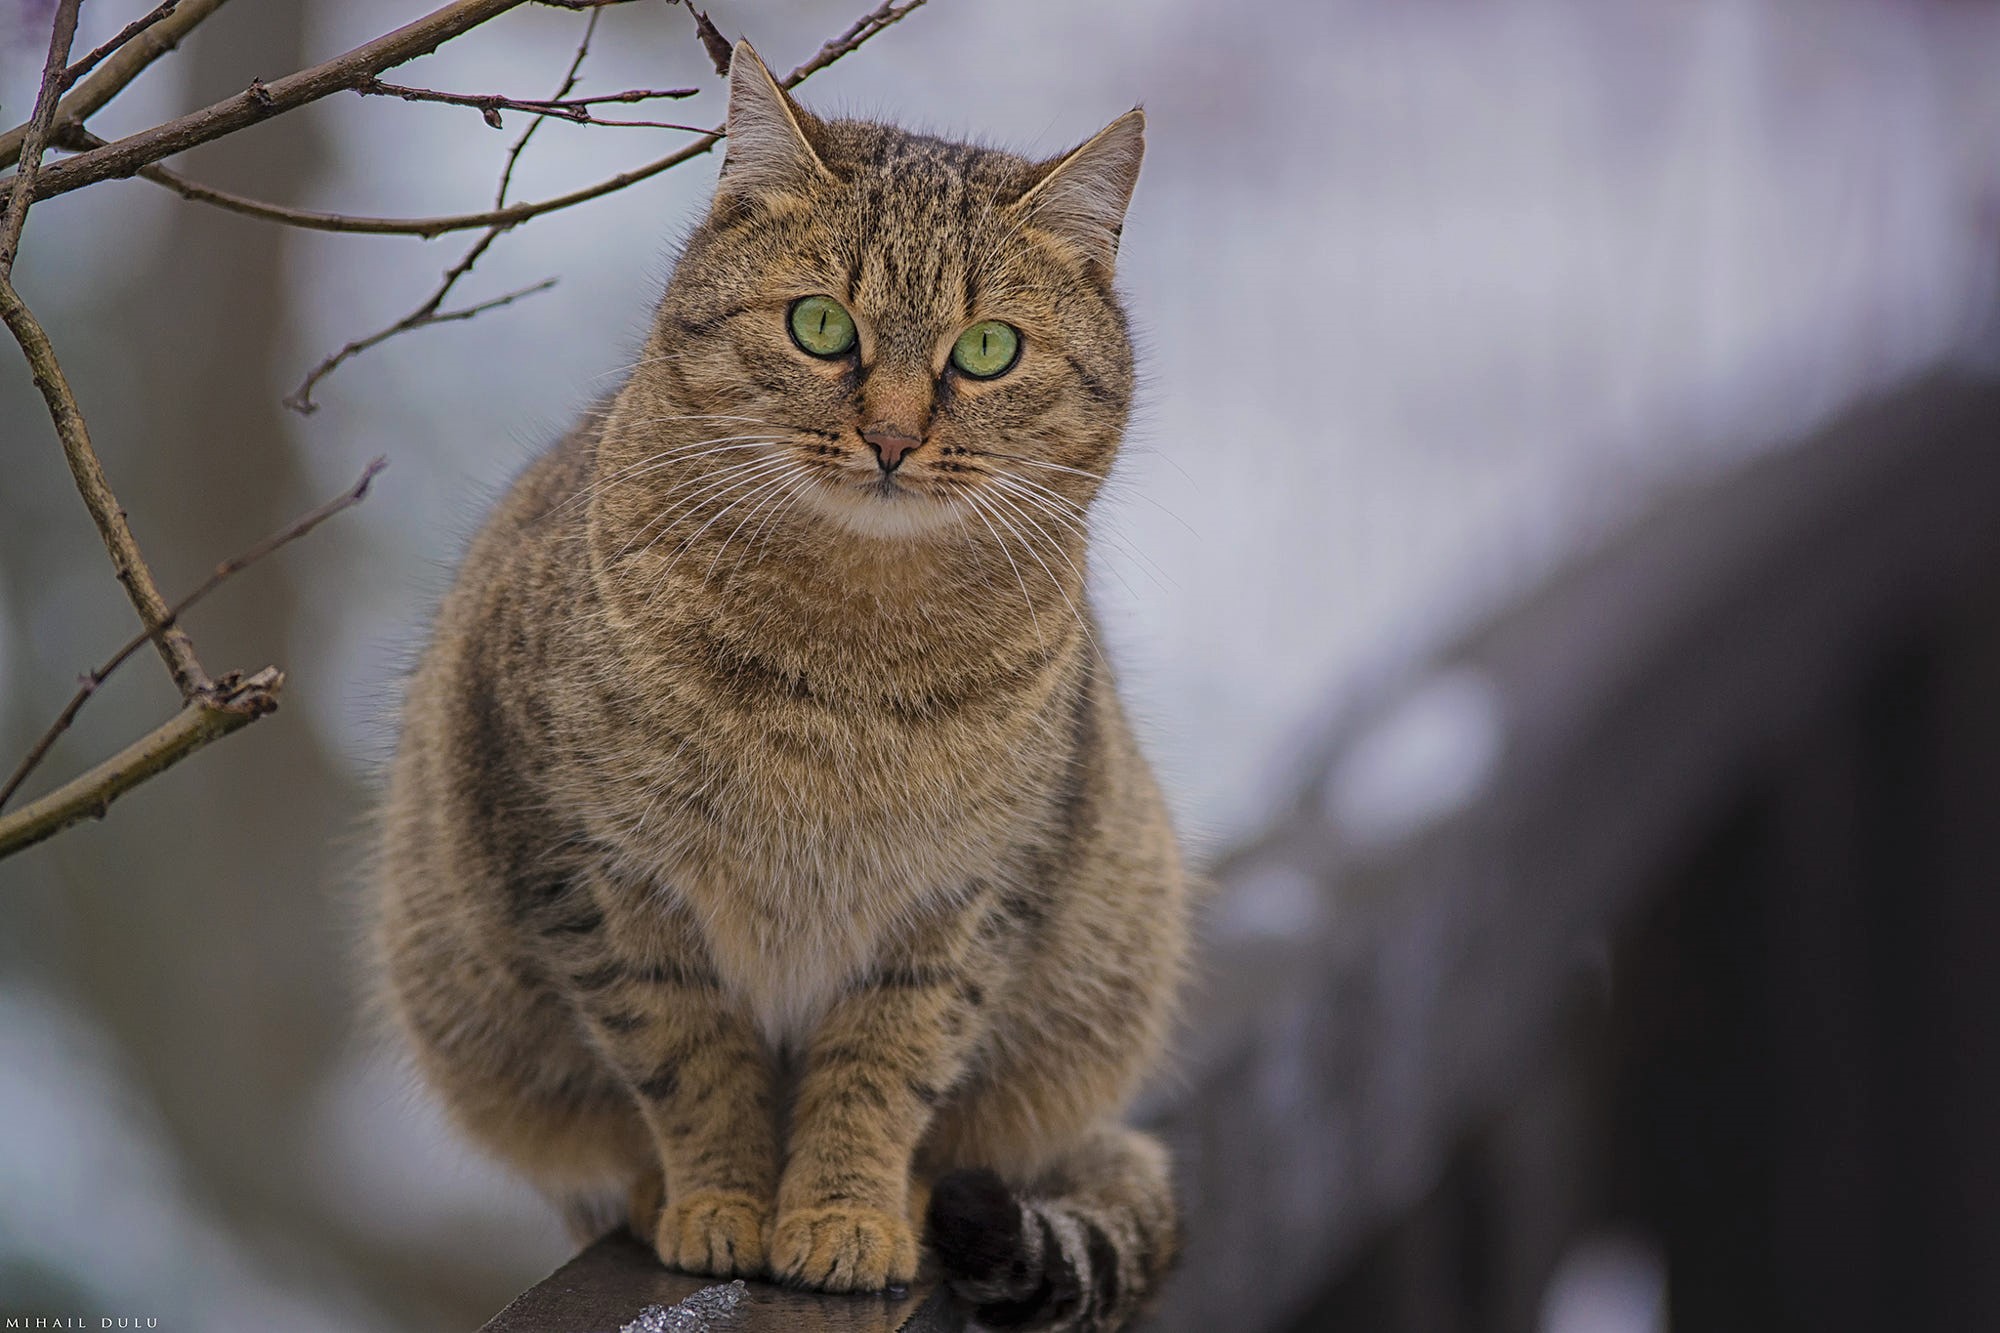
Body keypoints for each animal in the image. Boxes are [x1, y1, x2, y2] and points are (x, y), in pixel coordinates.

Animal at [376, 41, 1184, 1328]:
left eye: (987, 350)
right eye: (819, 325)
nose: (892, 436)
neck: (846, 661)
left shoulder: (958, 903)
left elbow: (885, 1066)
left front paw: (845, 1212)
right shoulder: (599, 875)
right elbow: (689, 1059)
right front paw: (719, 1201)